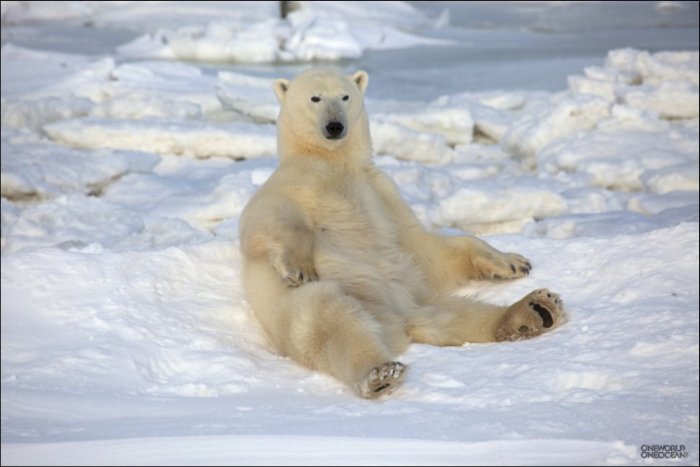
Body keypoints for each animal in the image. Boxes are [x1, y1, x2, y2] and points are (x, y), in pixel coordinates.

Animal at [239, 67, 564, 400]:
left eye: (344, 96)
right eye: (315, 98)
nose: (334, 126)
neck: (333, 162)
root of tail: (399, 323)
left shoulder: (381, 193)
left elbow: (421, 247)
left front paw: (513, 262)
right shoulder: (298, 181)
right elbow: (265, 218)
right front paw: (299, 268)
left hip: (420, 301)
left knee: (460, 314)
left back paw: (536, 309)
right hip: (317, 307)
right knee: (325, 317)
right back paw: (379, 373)